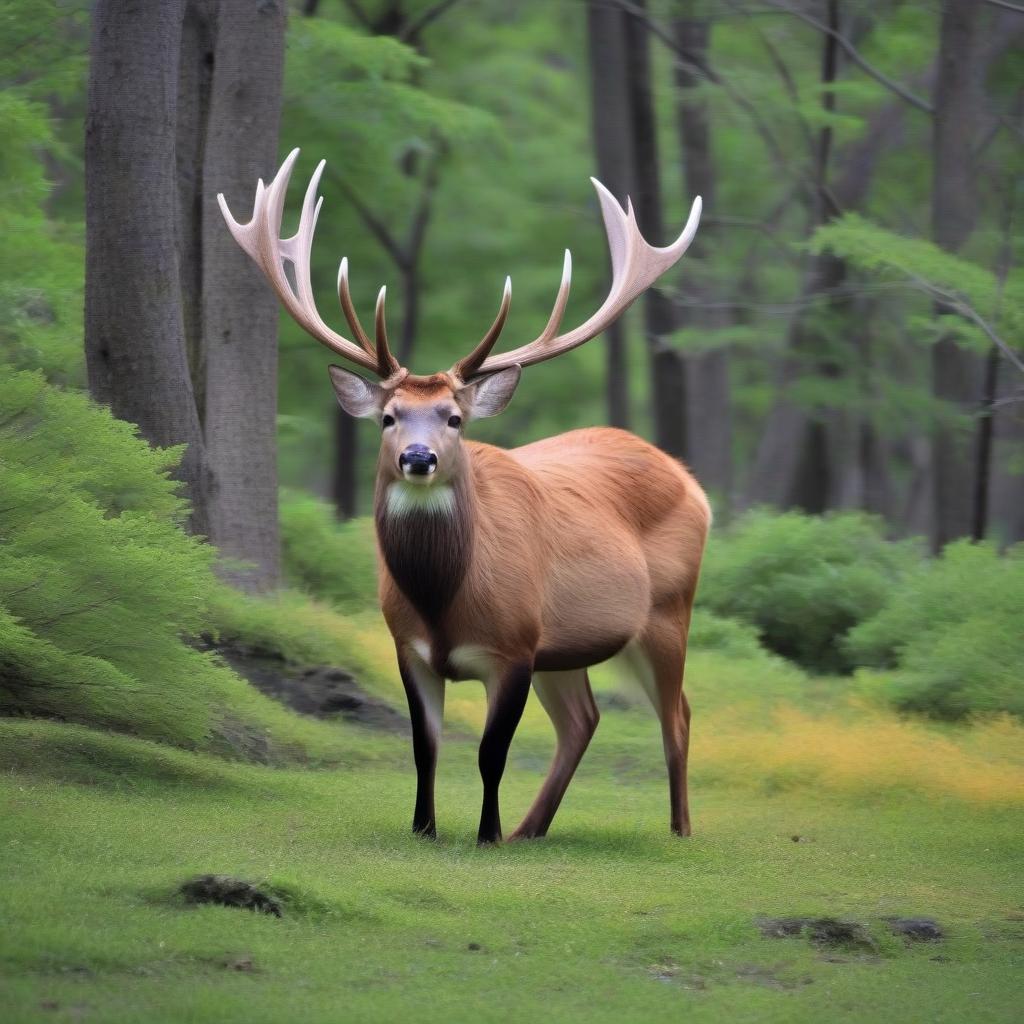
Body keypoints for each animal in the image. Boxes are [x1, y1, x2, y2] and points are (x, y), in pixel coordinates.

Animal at [219, 148, 708, 843]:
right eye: (389, 416)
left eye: (454, 418)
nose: (418, 458)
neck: (446, 602)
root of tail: (688, 478)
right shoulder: (410, 646)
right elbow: (425, 745)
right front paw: (425, 828)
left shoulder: (515, 646)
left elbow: (490, 752)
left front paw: (485, 836)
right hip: (568, 647)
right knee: (583, 719)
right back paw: (533, 829)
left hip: (668, 611)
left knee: (679, 716)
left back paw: (677, 830)